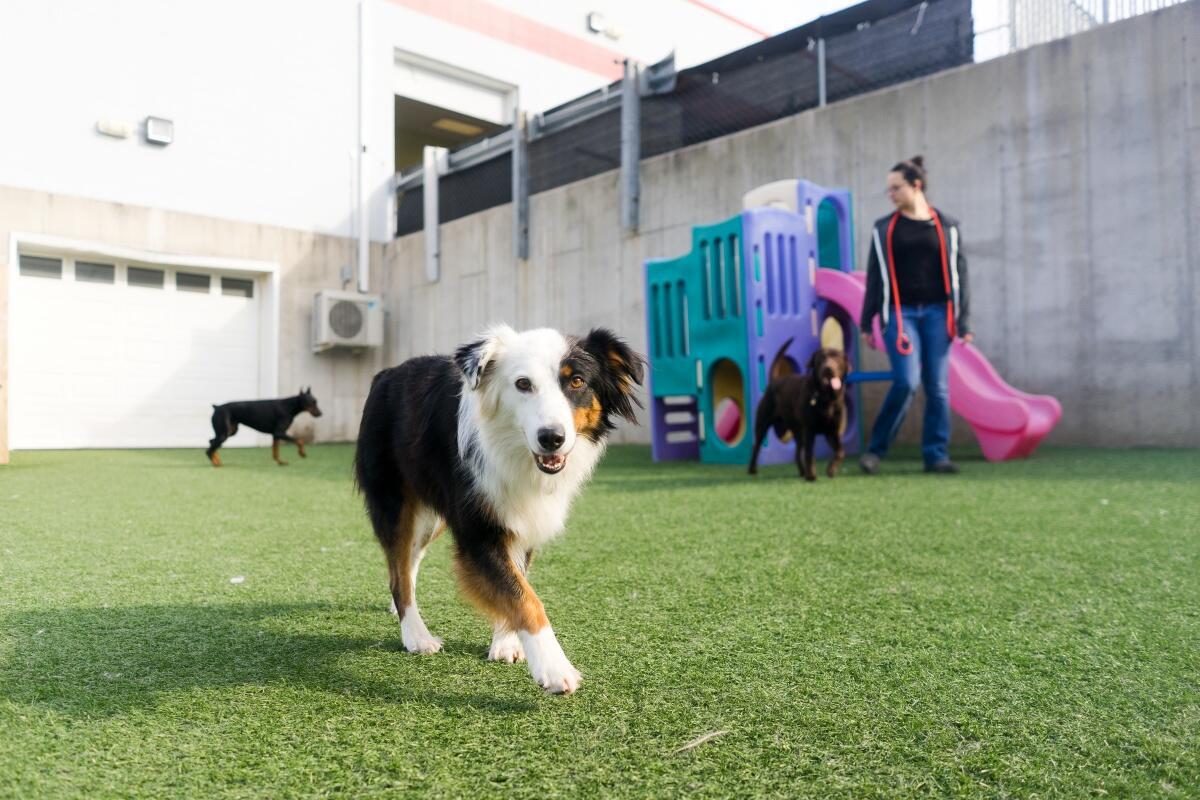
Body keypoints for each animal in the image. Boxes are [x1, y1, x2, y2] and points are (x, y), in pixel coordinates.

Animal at [354, 325, 643, 694]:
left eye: (577, 381)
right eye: (523, 384)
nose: (551, 438)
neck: (516, 452)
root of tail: (386, 373)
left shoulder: (523, 521)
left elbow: (516, 582)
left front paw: (506, 643)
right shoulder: (478, 531)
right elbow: (526, 598)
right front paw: (554, 668)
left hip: (430, 512)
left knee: (408, 559)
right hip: (394, 499)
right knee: (397, 568)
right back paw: (416, 634)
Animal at [748, 341, 849, 481]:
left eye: (836, 358)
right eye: (821, 358)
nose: (828, 368)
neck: (826, 397)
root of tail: (774, 380)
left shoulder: (832, 431)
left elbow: (840, 452)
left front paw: (831, 470)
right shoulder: (809, 430)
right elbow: (809, 454)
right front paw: (811, 475)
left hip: (798, 431)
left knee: (797, 453)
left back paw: (802, 471)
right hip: (763, 423)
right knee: (756, 445)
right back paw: (752, 469)